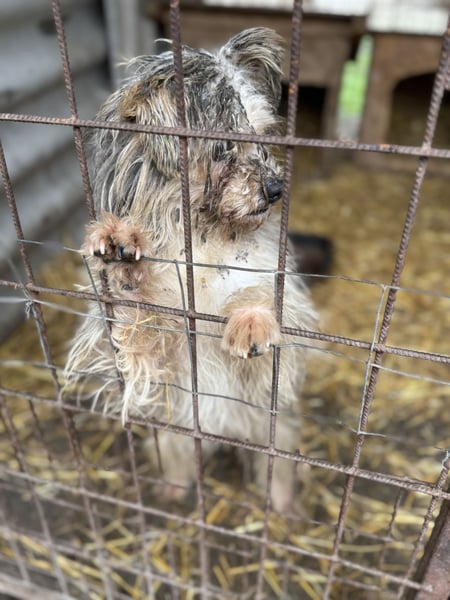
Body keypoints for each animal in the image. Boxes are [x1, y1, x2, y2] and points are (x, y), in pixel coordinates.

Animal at [64, 28, 318, 512]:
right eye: (221, 147)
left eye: (262, 137)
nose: (276, 188)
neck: (207, 238)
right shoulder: (156, 357)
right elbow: (137, 325)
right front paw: (121, 251)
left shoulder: (277, 349)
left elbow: (259, 295)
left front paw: (252, 318)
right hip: (174, 432)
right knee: (178, 459)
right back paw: (173, 489)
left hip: (276, 430)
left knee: (277, 467)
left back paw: (282, 505)